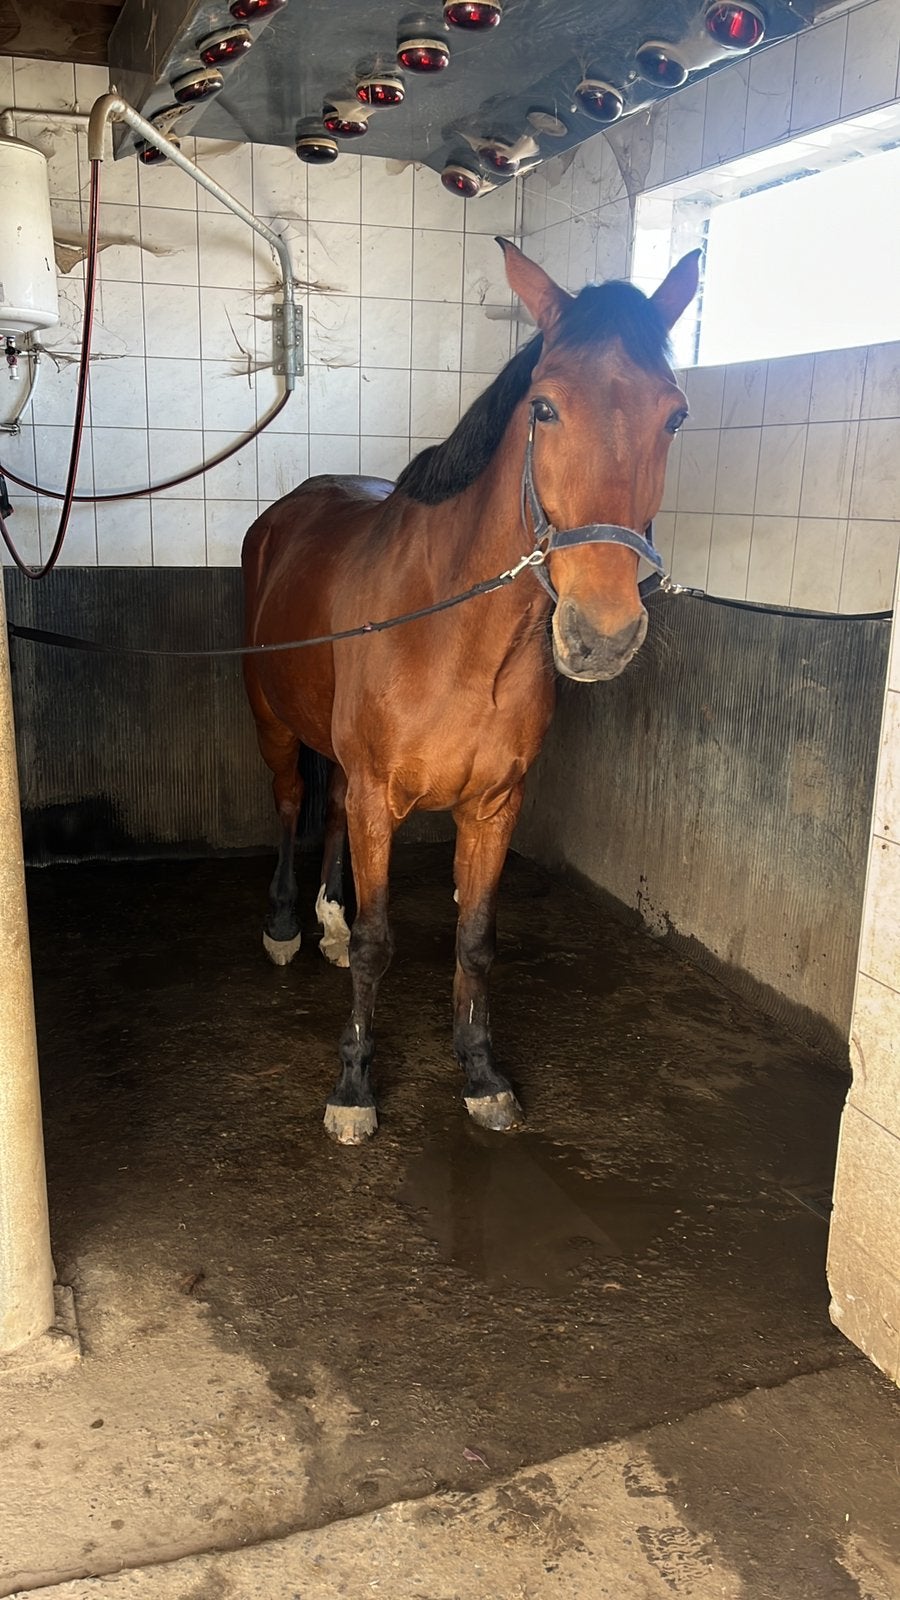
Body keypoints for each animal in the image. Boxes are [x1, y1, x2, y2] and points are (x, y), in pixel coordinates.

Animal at [242, 240, 699, 1145]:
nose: (602, 633)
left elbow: (477, 939)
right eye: (545, 409)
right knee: (289, 802)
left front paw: (482, 1072)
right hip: (273, 724)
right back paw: (285, 926)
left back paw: (328, 922)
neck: (457, 638)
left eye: (674, 416)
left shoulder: (493, 805)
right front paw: (354, 1087)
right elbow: (383, 944)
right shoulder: (381, 797)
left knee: (330, 807)